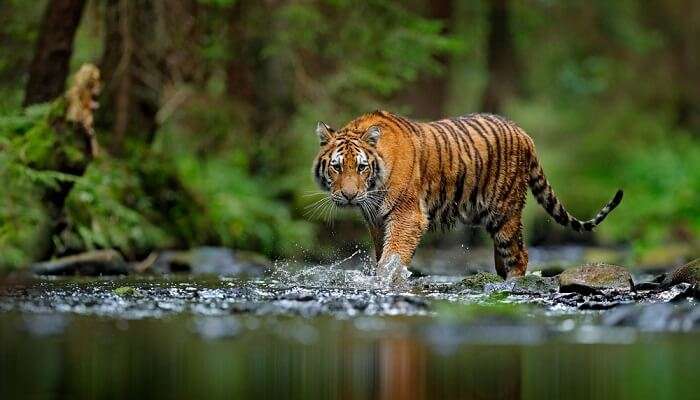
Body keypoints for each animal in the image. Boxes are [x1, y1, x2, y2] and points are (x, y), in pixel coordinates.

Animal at [312, 109, 624, 278]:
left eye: (361, 167)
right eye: (337, 167)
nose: (349, 195)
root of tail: (524, 133)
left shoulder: (407, 216)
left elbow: (392, 257)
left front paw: (386, 281)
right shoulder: (377, 220)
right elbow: (382, 254)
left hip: (505, 212)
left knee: (519, 254)